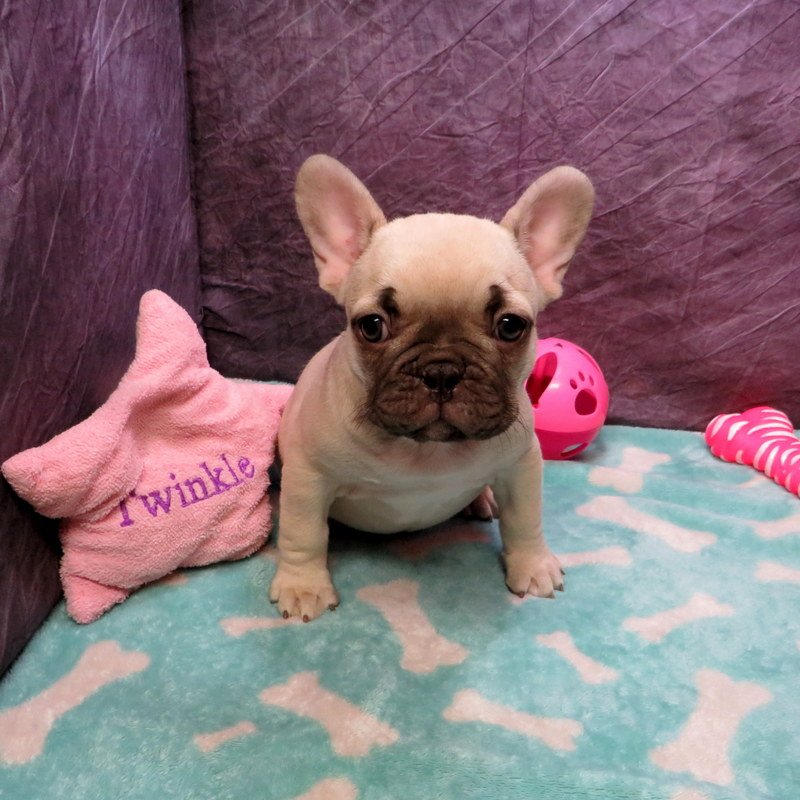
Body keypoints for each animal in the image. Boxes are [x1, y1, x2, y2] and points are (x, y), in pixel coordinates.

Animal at [270, 155, 594, 621]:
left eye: (510, 326)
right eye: (372, 326)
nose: (442, 370)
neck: (426, 452)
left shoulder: (521, 465)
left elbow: (524, 520)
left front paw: (532, 566)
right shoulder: (307, 475)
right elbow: (304, 532)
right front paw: (302, 587)